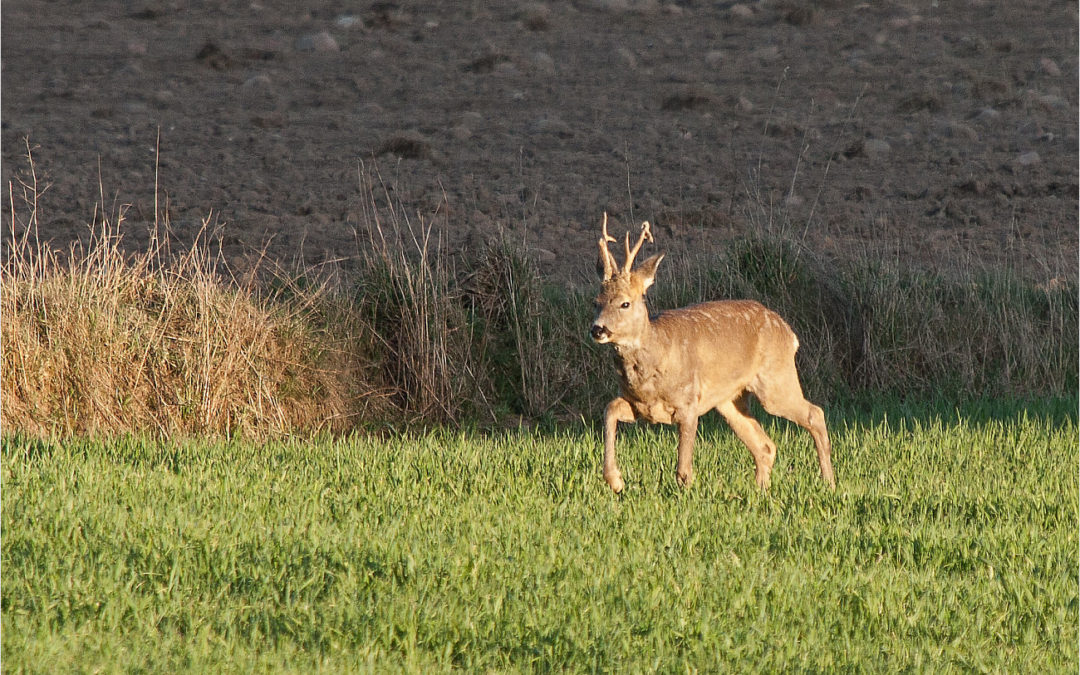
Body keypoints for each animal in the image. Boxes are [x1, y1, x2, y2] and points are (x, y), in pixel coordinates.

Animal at [591, 212, 833, 492]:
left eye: (625, 303)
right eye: (595, 302)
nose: (598, 329)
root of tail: (788, 332)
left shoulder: (689, 402)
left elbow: (684, 468)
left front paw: (685, 494)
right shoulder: (639, 405)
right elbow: (609, 409)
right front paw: (615, 480)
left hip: (774, 379)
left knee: (814, 414)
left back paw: (828, 483)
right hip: (729, 399)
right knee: (765, 446)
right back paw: (761, 490)